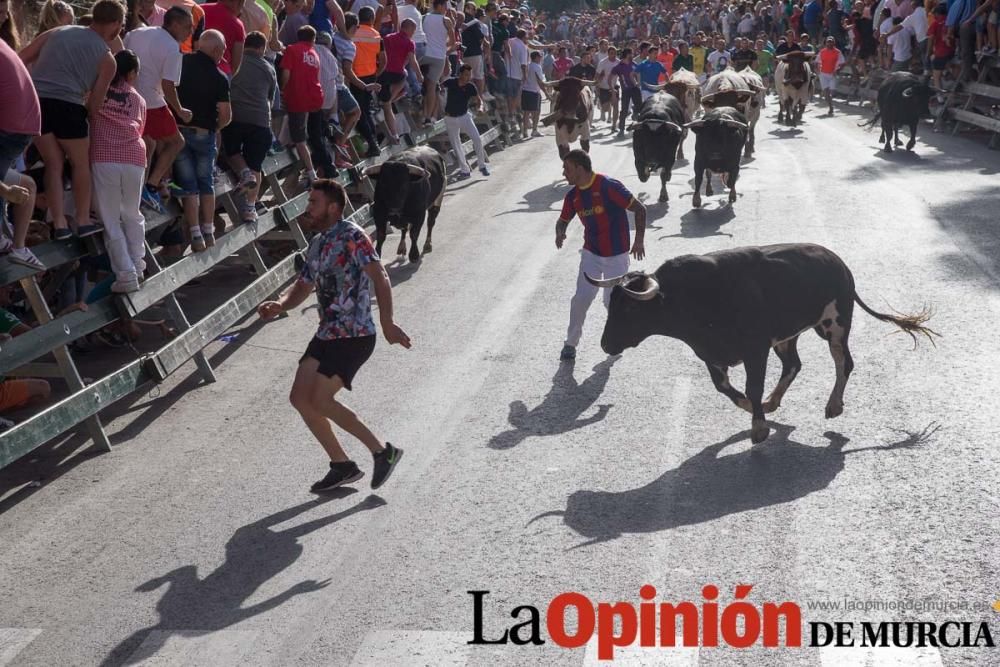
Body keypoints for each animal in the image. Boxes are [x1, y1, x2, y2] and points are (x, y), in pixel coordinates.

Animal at [584, 244, 936, 444]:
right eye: (611, 305)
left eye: (630, 309)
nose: (605, 344)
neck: (690, 297)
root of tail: (839, 263)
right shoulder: (710, 354)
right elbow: (726, 389)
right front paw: (751, 410)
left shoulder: (756, 349)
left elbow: (752, 386)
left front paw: (758, 429)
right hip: (788, 336)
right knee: (794, 365)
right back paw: (772, 402)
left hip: (834, 324)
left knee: (843, 362)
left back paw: (833, 405)